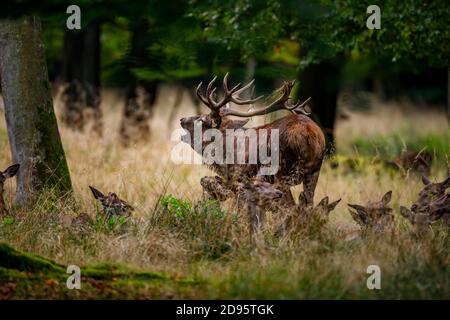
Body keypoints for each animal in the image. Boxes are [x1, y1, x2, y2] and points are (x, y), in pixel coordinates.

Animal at [178, 73, 324, 205]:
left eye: (201, 120)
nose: (182, 119)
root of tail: (310, 134)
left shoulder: (240, 177)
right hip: (314, 171)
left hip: (280, 170)